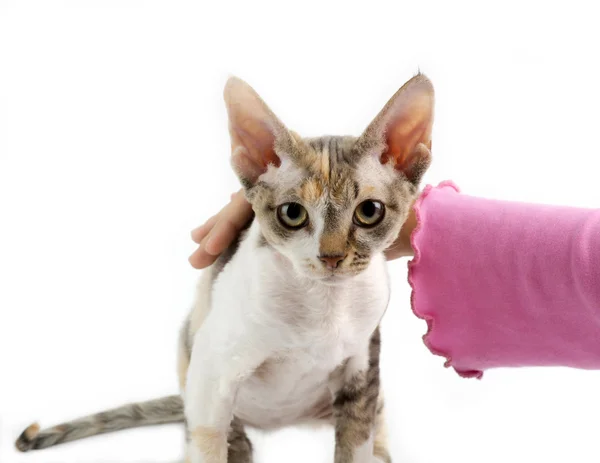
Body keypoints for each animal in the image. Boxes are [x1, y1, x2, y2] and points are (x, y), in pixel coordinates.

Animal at [16, 73, 434, 463]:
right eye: (293, 214)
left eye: (369, 211)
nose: (331, 257)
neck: (323, 305)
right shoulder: (213, 372)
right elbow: (208, 440)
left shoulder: (362, 370)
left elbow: (355, 442)